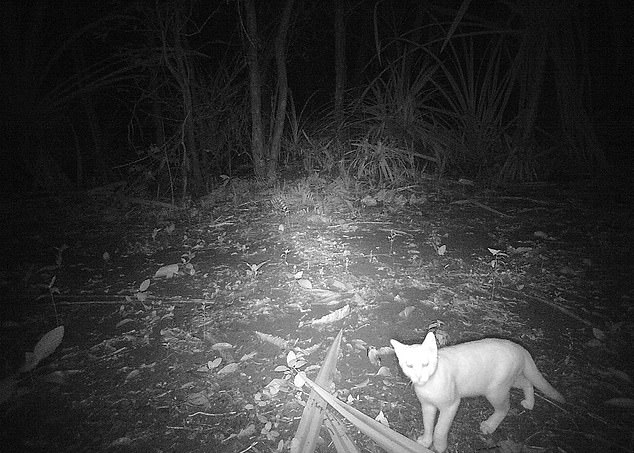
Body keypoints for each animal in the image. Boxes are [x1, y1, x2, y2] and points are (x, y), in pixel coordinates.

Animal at [390, 330, 564, 450]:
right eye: (409, 365)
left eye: (425, 364)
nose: (419, 377)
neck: (428, 385)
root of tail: (518, 346)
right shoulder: (427, 406)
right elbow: (428, 424)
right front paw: (426, 442)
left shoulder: (451, 405)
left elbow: (439, 429)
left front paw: (439, 447)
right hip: (510, 381)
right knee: (528, 382)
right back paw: (529, 403)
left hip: (495, 390)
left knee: (505, 407)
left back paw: (490, 425)